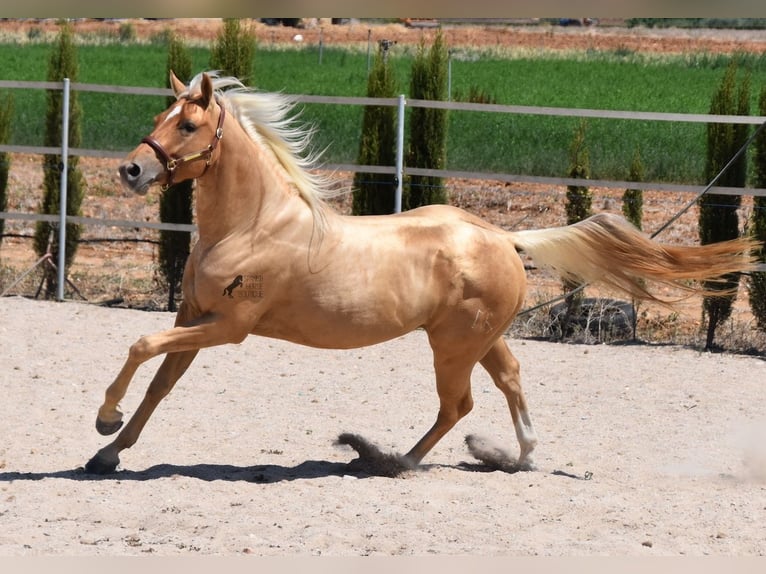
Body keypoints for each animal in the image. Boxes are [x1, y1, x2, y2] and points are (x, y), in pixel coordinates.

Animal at [84, 71, 756, 476]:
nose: (131, 171)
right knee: (510, 379)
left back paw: (396, 462)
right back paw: (519, 457)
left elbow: (139, 344)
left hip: (452, 346)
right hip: (481, 338)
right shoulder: (193, 315)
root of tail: (503, 236)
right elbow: (159, 383)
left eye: (188, 124)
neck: (253, 225)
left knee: (459, 403)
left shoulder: (228, 326)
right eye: (162, 114)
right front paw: (109, 453)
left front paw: (104, 421)